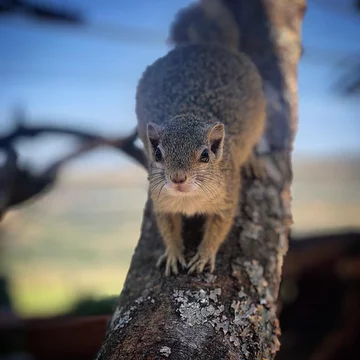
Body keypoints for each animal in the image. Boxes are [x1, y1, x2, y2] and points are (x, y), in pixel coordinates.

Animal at [134, 0, 266, 276]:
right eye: (158, 154)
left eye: (205, 155)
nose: (178, 179)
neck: (188, 198)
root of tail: (203, 45)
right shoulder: (161, 203)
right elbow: (167, 228)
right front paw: (173, 254)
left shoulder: (227, 198)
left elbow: (218, 230)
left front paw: (204, 256)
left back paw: (253, 161)